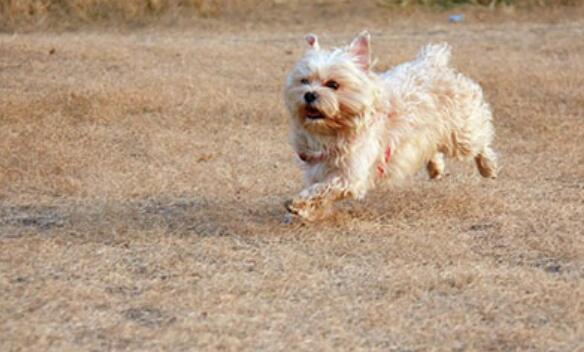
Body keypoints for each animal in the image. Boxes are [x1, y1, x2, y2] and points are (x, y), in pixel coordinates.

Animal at [282, 31, 498, 221]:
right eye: (304, 81)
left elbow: (323, 189)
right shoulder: (317, 169)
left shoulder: (350, 175)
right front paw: (309, 212)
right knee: (434, 148)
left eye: (333, 84)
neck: (332, 131)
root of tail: (432, 60)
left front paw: (299, 204)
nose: (309, 94)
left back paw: (488, 167)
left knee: (480, 143)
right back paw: (435, 167)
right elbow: (319, 191)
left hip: (462, 133)